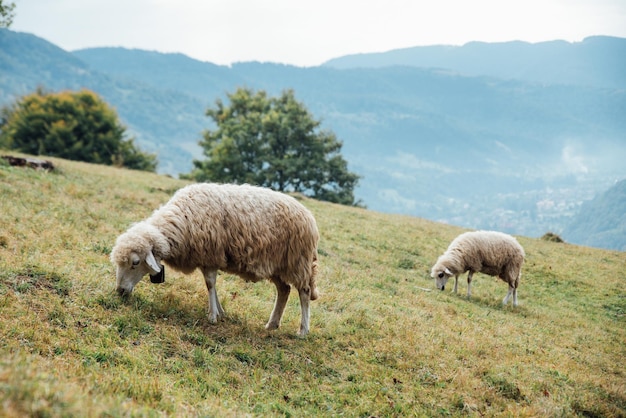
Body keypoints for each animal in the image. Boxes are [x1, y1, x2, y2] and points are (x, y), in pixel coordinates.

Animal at [109, 183, 320, 336]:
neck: (182, 222)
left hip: (298, 262)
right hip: (277, 265)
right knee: (284, 290)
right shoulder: (207, 258)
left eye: (135, 263)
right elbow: (212, 286)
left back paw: (303, 330)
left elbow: (210, 284)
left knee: (304, 292)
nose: (120, 291)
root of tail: (309, 216)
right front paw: (219, 311)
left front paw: (212, 316)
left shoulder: (211, 254)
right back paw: (272, 324)